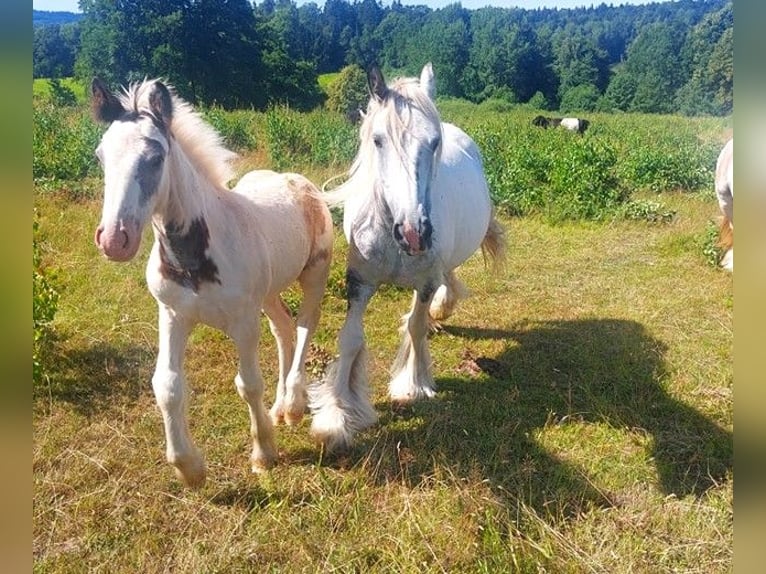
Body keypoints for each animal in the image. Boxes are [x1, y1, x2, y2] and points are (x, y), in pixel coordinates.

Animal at [90, 77, 332, 490]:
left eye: (156, 157)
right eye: (101, 156)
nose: (114, 239)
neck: (194, 257)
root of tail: (297, 180)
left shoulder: (243, 321)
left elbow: (248, 383)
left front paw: (264, 455)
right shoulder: (172, 314)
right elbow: (167, 386)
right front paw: (189, 468)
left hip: (314, 274)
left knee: (303, 326)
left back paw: (293, 406)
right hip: (268, 293)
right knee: (283, 329)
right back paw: (279, 408)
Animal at [308, 62, 508, 450]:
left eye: (433, 142)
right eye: (378, 140)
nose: (414, 232)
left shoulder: (426, 280)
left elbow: (415, 326)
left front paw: (412, 385)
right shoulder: (359, 281)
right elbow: (350, 339)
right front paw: (337, 417)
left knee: (448, 277)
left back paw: (441, 308)